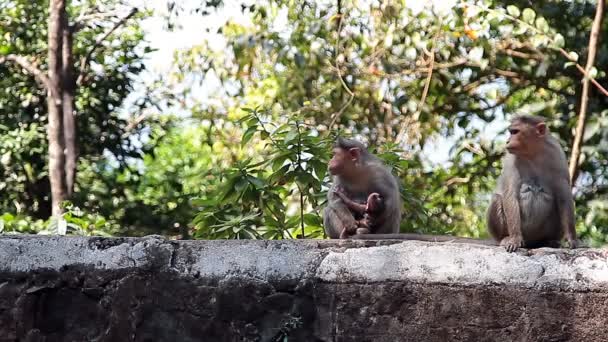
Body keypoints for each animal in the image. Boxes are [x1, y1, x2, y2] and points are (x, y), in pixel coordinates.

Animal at [484, 115, 580, 251]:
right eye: (511, 132)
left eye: (515, 132)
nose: (507, 141)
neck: (533, 152)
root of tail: (531, 243)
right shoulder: (511, 158)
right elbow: (510, 195)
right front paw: (514, 239)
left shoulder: (557, 154)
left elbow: (564, 197)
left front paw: (571, 239)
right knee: (497, 199)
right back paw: (505, 238)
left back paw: (548, 241)